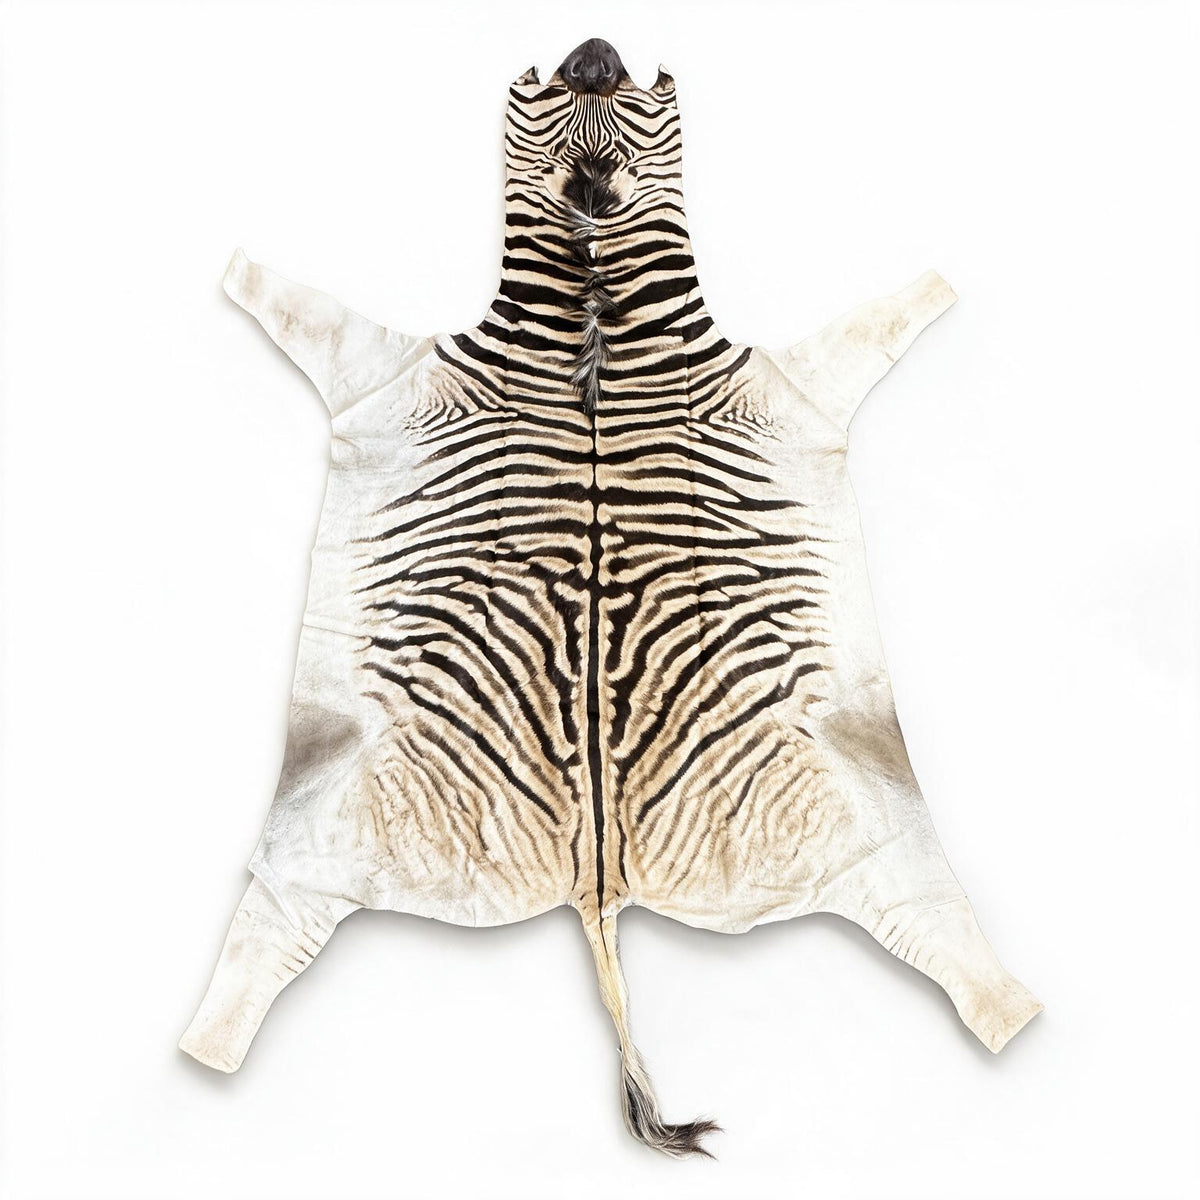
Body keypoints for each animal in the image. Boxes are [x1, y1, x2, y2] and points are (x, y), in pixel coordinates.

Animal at [180, 37, 1041, 1157]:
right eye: (556, 85)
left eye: (624, 91)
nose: (594, 48)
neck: (594, 308)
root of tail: (598, 891)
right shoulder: (384, 374)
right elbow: (297, 302)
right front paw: (239, 271)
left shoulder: (790, 385)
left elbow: (889, 312)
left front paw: (937, 284)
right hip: (325, 846)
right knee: (268, 938)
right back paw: (207, 1044)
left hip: (869, 836)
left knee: (940, 928)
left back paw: (1015, 1013)